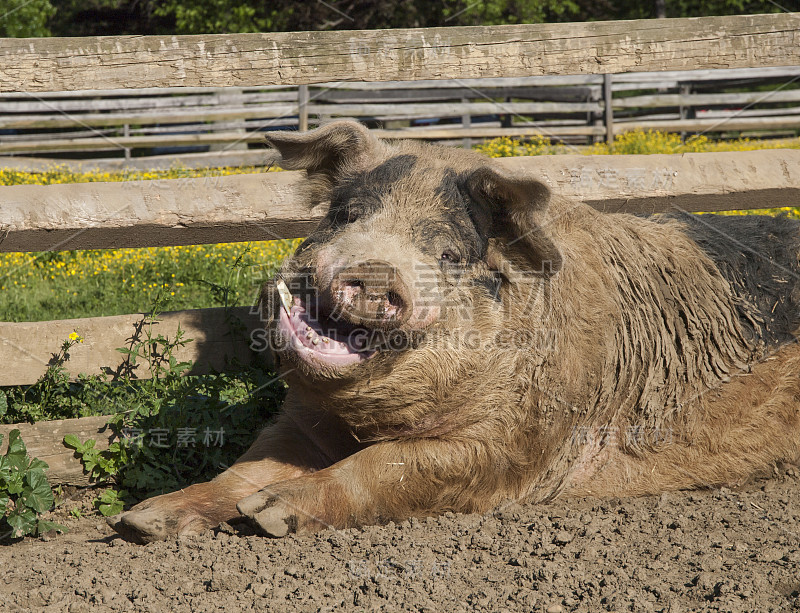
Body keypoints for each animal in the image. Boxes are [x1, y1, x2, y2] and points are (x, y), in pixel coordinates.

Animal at [109, 120, 800, 544]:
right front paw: (139, 523)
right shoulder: (298, 420)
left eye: (446, 254)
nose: (372, 271)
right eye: (345, 215)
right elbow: (242, 470)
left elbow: (390, 465)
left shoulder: (513, 447)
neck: (364, 420)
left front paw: (270, 516)